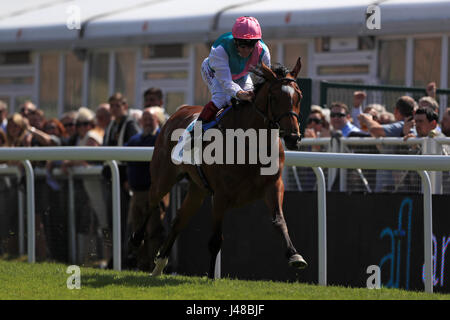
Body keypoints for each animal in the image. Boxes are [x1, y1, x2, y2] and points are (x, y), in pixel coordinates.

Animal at [142, 57, 306, 278]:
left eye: (299, 96)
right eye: (273, 97)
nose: (293, 137)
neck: (251, 143)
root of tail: (177, 112)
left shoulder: (273, 186)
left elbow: (279, 221)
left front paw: (294, 256)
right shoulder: (220, 195)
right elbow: (215, 240)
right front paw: (211, 277)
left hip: (197, 189)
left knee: (179, 219)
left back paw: (159, 265)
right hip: (163, 177)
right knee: (151, 202)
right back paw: (135, 240)